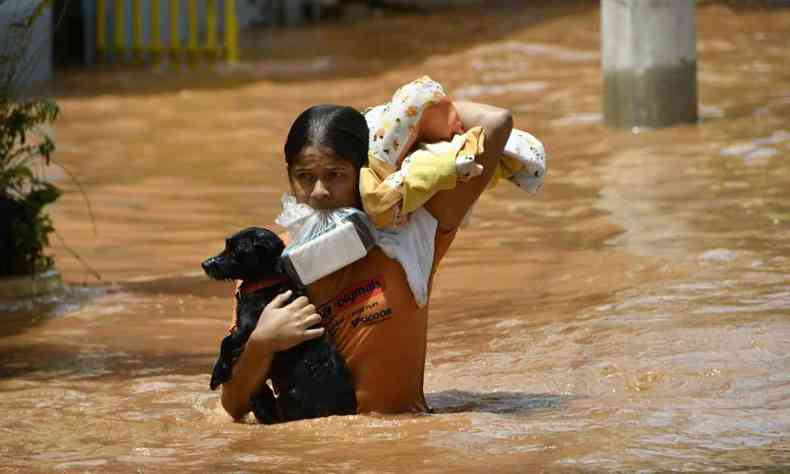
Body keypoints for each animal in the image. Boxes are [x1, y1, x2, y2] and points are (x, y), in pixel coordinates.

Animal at [203, 226, 358, 422]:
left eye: (234, 251)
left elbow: (226, 342)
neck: (267, 282)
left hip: (291, 397)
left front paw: (218, 373)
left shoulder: (247, 326)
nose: (205, 264)